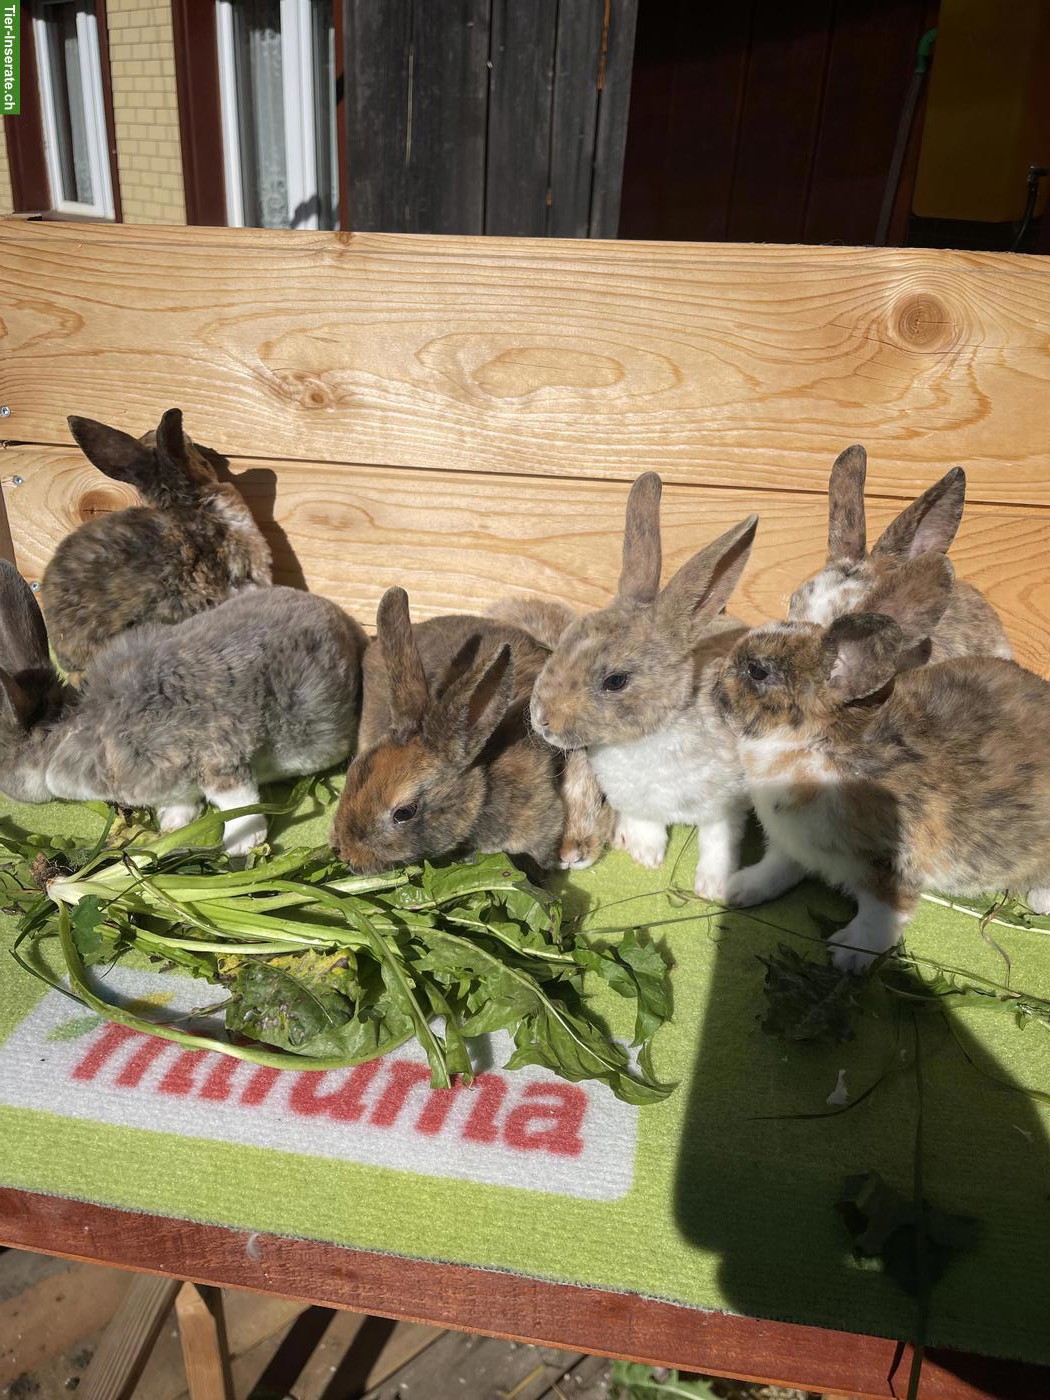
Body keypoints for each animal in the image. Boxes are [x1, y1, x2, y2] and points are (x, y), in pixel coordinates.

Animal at [0, 562, 365, 855]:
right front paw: (172, 824)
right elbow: (182, 800)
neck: (73, 730)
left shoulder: (215, 757)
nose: (8, 793)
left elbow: (239, 803)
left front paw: (240, 845)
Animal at [529, 471, 759, 901]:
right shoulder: (635, 802)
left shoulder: (725, 806)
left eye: (615, 681)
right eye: (565, 639)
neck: (645, 739)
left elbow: (717, 844)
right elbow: (647, 826)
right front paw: (646, 856)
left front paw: (712, 888)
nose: (541, 719)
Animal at [715, 552, 1050, 973]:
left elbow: (882, 914)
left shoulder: (889, 869)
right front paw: (740, 889)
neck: (817, 741)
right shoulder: (790, 843)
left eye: (758, 671)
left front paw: (848, 953)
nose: (714, 688)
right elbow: (778, 868)